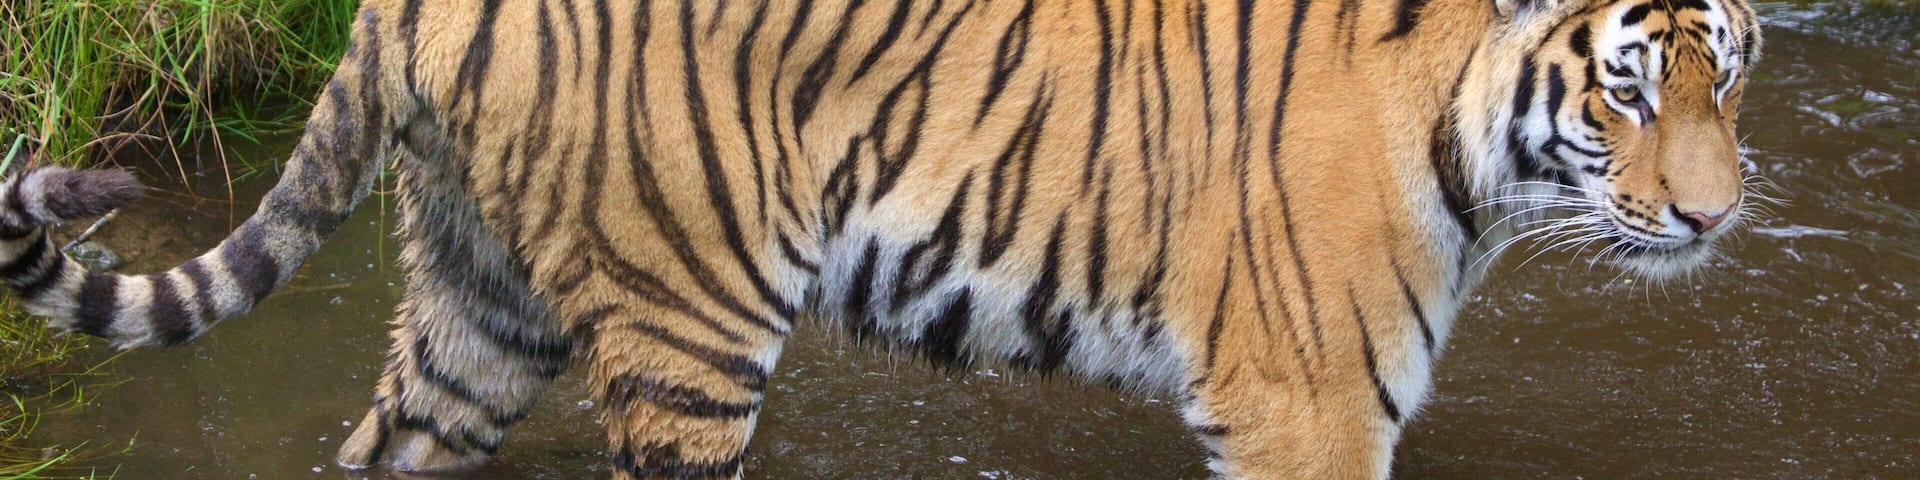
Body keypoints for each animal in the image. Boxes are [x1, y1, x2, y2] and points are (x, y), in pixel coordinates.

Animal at [0, 0, 1762, 478]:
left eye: (1723, 72)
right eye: (1623, 86)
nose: (1716, 210)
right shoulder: (1306, 414)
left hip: (475, 316)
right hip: (688, 329)